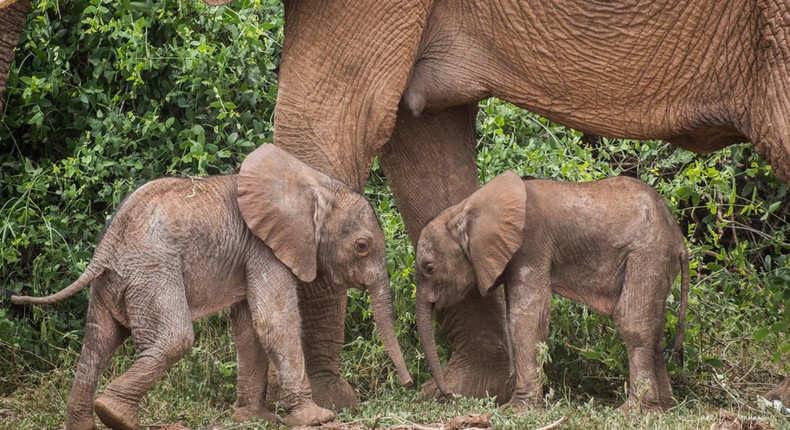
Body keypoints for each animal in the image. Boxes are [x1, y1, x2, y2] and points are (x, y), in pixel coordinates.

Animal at [12, 145, 414, 430]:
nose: (409, 383)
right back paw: (115, 416)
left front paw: (255, 419)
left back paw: (89, 421)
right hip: (152, 271)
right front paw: (316, 419)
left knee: (97, 343)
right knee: (173, 338)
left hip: (116, 280)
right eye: (362, 246)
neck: (312, 184)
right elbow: (274, 322)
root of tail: (107, 246)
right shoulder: (264, 247)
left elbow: (250, 328)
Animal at [418, 171, 688, 414]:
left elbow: (527, 319)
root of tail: (679, 239)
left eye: (429, 268)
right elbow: (514, 316)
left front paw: (516, 410)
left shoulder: (530, 244)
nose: (448, 396)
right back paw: (663, 408)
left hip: (648, 253)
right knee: (656, 330)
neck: (464, 208)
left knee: (633, 323)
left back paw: (634, 410)